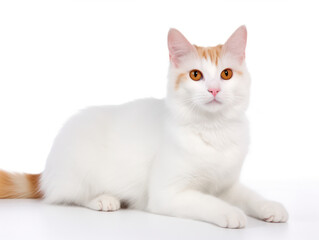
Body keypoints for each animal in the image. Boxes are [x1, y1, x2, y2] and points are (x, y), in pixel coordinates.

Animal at [0, 25, 290, 229]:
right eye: (196, 75)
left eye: (226, 74)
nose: (214, 89)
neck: (213, 129)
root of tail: (47, 169)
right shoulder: (167, 194)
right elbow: (208, 201)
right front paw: (230, 212)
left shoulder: (227, 185)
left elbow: (250, 196)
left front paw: (270, 206)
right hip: (78, 169)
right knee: (67, 195)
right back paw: (104, 199)